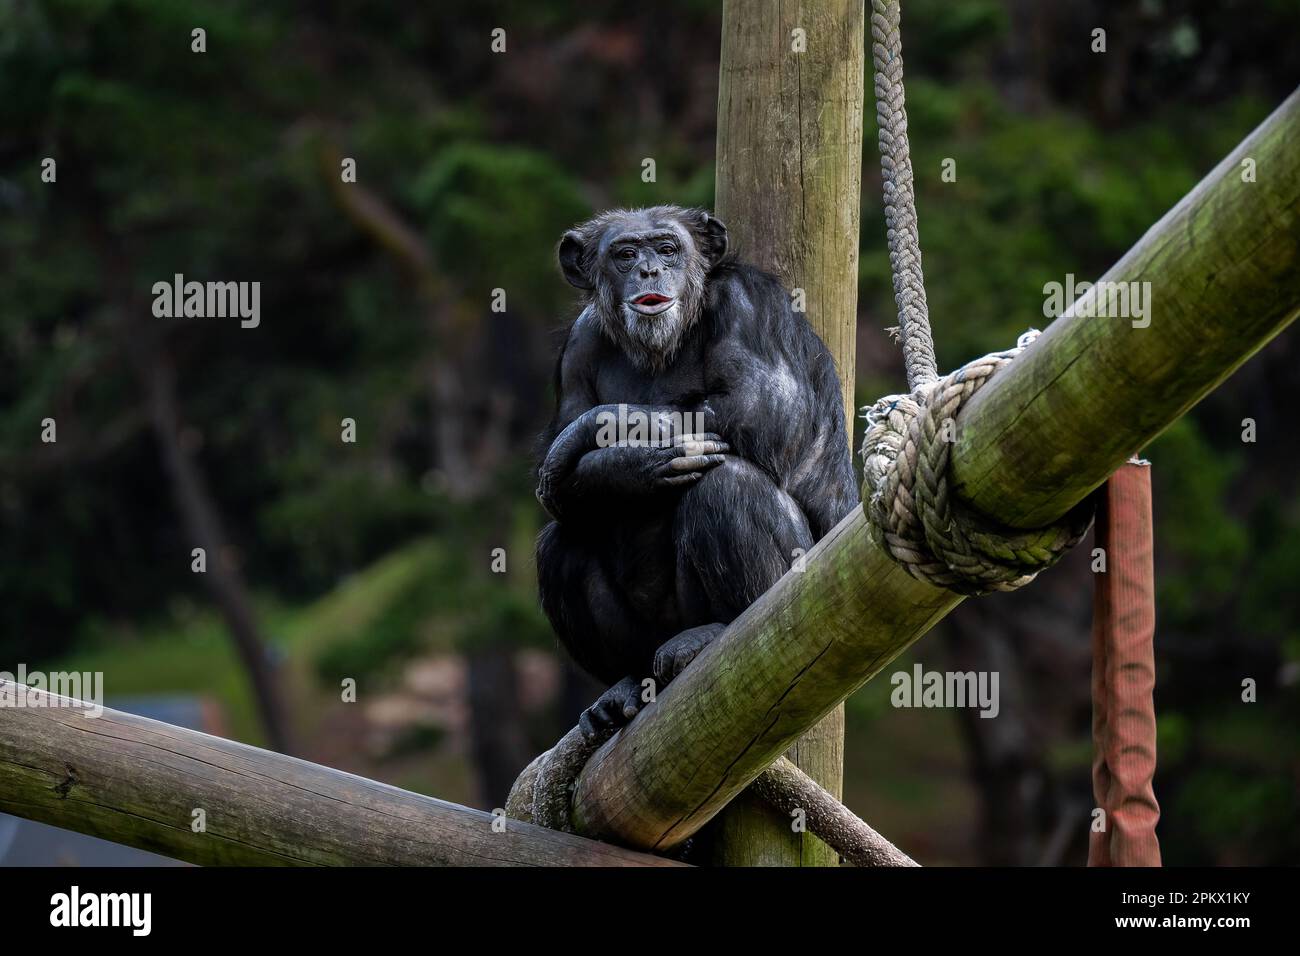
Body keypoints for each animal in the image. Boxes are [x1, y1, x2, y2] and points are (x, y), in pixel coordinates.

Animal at [533, 205, 857, 738]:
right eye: (625, 254)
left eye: (668, 249)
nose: (649, 271)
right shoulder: (580, 342)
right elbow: (563, 485)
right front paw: (625, 466)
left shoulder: (750, 304)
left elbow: (763, 406)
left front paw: (599, 430)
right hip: (645, 644)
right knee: (561, 542)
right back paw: (623, 687)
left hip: (804, 601)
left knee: (728, 485)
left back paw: (709, 635)